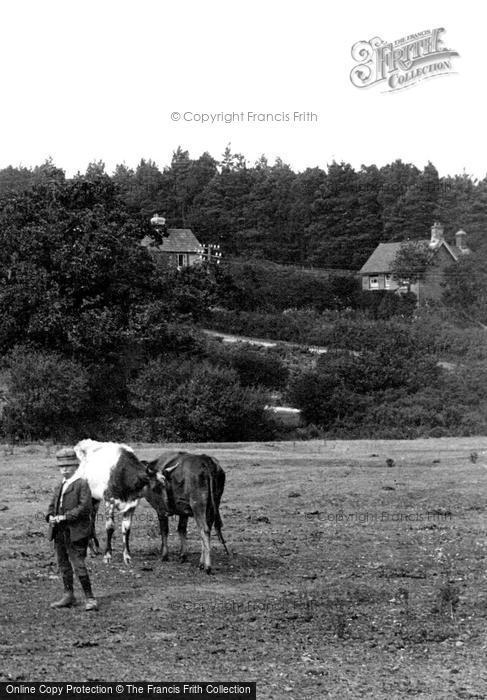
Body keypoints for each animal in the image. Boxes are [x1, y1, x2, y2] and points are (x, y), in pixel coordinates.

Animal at [74, 440, 150, 568]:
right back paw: (89, 550)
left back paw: (95, 548)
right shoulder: (109, 501)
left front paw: (127, 556)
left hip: (95, 499)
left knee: (92, 519)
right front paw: (107, 555)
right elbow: (110, 527)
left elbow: (126, 529)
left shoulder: (132, 505)